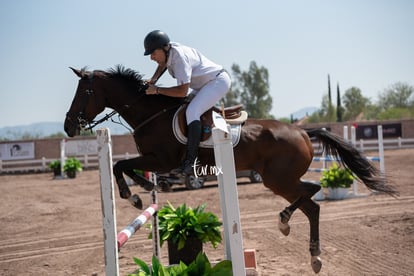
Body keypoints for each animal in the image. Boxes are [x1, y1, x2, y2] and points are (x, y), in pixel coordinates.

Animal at [64, 65, 398, 274]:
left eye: (84, 93)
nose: (68, 127)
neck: (150, 113)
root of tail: (303, 132)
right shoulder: (153, 160)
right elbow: (126, 167)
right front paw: (143, 191)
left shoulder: (163, 159)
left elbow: (120, 165)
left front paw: (132, 195)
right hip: (281, 180)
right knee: (312, 204)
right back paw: (310, 252)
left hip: (277, 179)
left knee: (311, 194)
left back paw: (286, 223)